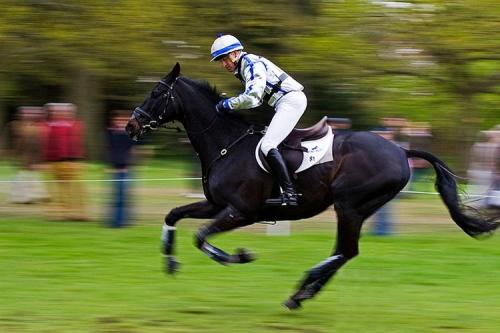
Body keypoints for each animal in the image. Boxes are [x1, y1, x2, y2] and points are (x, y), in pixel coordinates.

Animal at [127, 63, 498, 308]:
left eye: (157, 93)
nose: (131, 125)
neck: (226, 144)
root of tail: (400, 149)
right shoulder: (216, 205)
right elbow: (174, 215)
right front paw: (170, 262)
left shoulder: (242, 212)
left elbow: (202, 238)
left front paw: (240, 256)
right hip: (354, 209)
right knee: (343, 252)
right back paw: (302, 293)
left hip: (349, 206)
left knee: (346, 251)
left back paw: (303, 286)